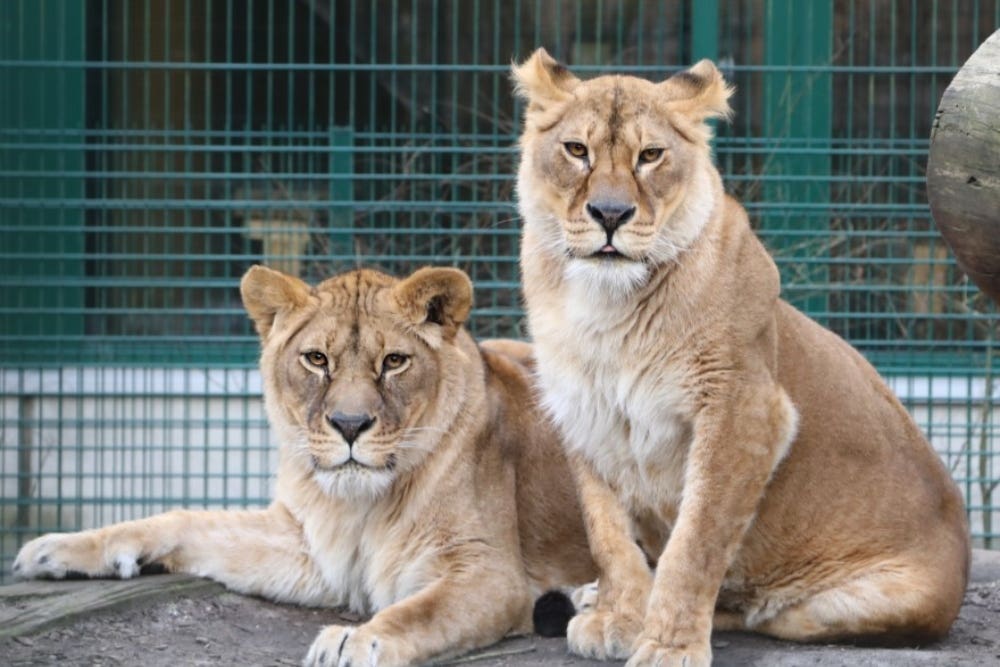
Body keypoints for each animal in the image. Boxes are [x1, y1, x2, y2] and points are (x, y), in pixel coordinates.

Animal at [13, 266, 592, 667]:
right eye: (316, 360)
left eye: (394, 362)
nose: (350, 425)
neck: (362, 502)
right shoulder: (311, 549)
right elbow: (187, 522)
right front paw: (56, 550)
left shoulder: (491, 573)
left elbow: (417, 611)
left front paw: (356, 640)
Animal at [512, 48, 972, 667]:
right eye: (576, 150)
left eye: (651, 155)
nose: (610, 213)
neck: (608, 308)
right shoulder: (583, 410)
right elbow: (606, 533)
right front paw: (620, 617)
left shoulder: (745, 409)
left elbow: (696, 540)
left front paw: (666, 643)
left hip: (853, 607)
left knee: (759, 608)